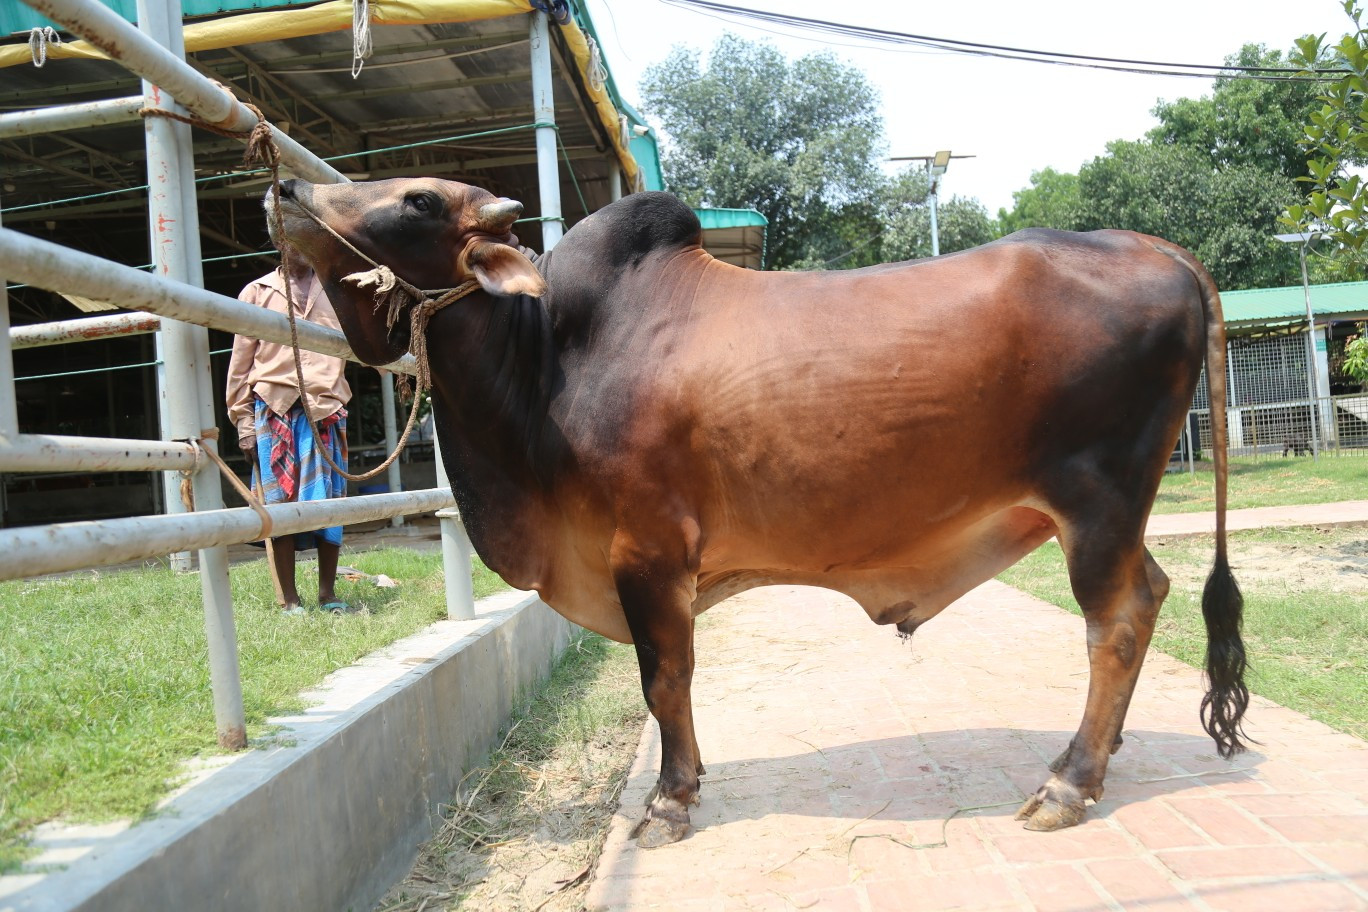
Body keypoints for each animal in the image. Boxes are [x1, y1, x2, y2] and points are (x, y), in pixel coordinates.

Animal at [266, 178, 1248, 847]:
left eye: (419, 198)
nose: (288, 189)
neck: (546, 355)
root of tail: (1156, 249)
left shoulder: (648, 549)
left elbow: (665, 679)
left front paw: (670, 800)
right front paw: (687, 781)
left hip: (1099, 502)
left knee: (1117, 621)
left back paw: (1068, 785)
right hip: (1111, 514)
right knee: (1152, 594)